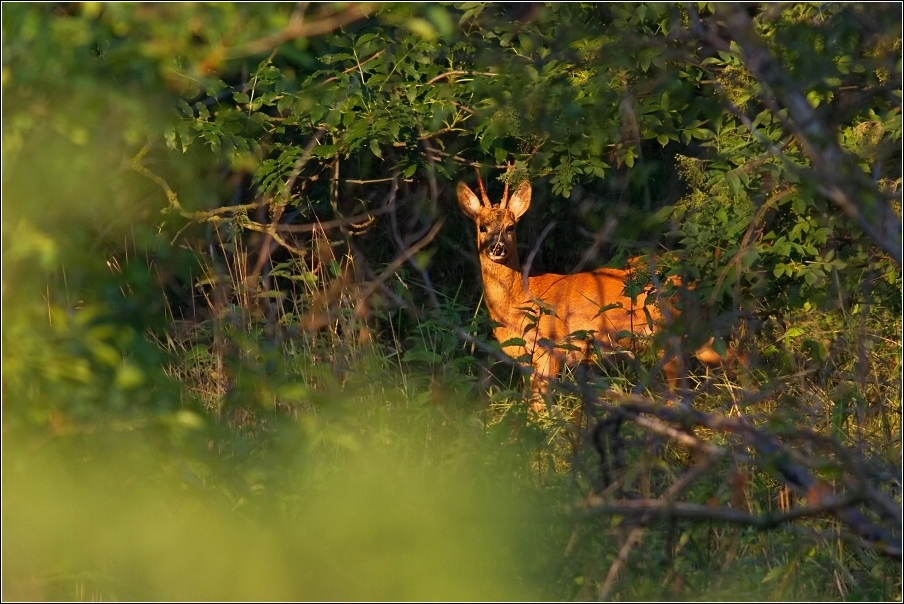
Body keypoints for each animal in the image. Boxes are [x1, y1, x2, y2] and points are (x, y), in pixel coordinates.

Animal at [460, 168, 720, 408]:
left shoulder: (548, 348)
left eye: (511, 227)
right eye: (482, 227)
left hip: (668, 330)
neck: (517, 301)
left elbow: (540, 404)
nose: (497, 248)